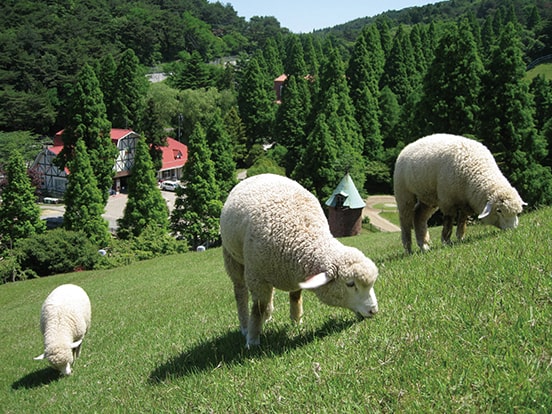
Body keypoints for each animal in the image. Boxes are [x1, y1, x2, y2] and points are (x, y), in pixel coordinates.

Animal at [220, 173, 380, 348]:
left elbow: (295, 297)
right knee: (240, 292)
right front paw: (253, 341)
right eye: (350, 284)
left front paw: (297, 322)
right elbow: (258, 308)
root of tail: (259, 175)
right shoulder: (257, 277)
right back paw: (244, 326)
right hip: (232, 257)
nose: (373, 311)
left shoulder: (294, 271)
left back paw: (268, 316)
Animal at [392, 134, 528, 254]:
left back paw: (424, 246)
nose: (512, 229)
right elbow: (448, 222)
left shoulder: (465, 202)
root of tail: (408, 146)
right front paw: (446, 242)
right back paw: (408, 248)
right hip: (403, 192)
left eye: (517, 212)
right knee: (405, 220)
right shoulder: (447, 200)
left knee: (419, 216)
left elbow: (462, 220)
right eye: (499, 210)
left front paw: (460, 238)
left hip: (428, 196)